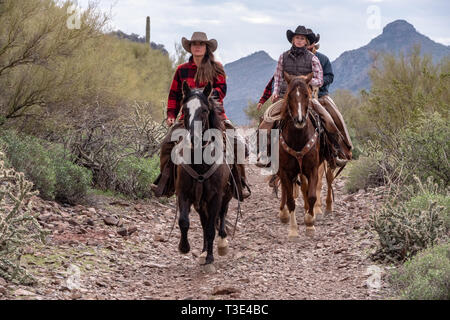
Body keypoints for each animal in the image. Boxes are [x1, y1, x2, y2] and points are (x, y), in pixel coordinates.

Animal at [175, 80, 234, 270]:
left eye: (205, 110)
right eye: (185, 109)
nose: (193, 139)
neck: (200, 163)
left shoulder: (215, 197)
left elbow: (210, 228)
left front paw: (210, 257)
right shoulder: (184, 193)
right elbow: (184, 221)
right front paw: (184, 247)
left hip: (226, 195)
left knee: (221, 217)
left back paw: (221, 244)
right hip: (201, 203)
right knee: (204, 222)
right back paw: (202, 251)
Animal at [276, 72, 326, 238]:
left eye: (306, 95)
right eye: (290, 95)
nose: (299, 120)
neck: (298, 139)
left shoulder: (312, 169)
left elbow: (311, 195)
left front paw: (310, 222)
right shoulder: (285, 171)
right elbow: (291, 200)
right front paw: (293, 230)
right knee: (286, 192)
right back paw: (283, 214)